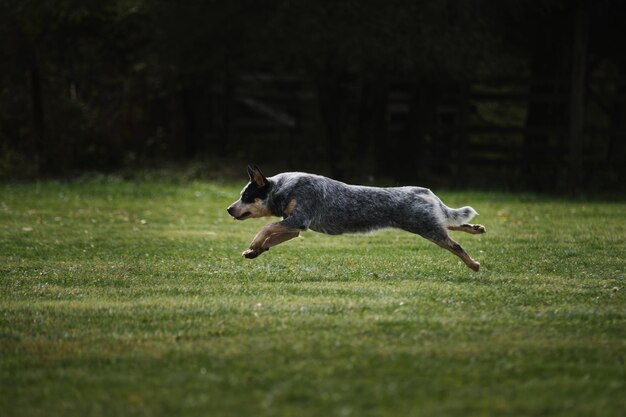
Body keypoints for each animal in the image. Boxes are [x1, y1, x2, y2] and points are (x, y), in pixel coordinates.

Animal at [227, 164, 486, 272]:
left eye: (246, 196)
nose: (229, 209)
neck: (284, 189)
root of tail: (425, 191)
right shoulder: (293, 228)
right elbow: (271, 237)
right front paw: (254, 251)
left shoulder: (298, 220)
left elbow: (267, 227)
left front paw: (253, 244)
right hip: (428, 224)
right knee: (453, 223)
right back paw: (476, 228)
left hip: (427, 228)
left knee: (455, 244)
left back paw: (474, 264)